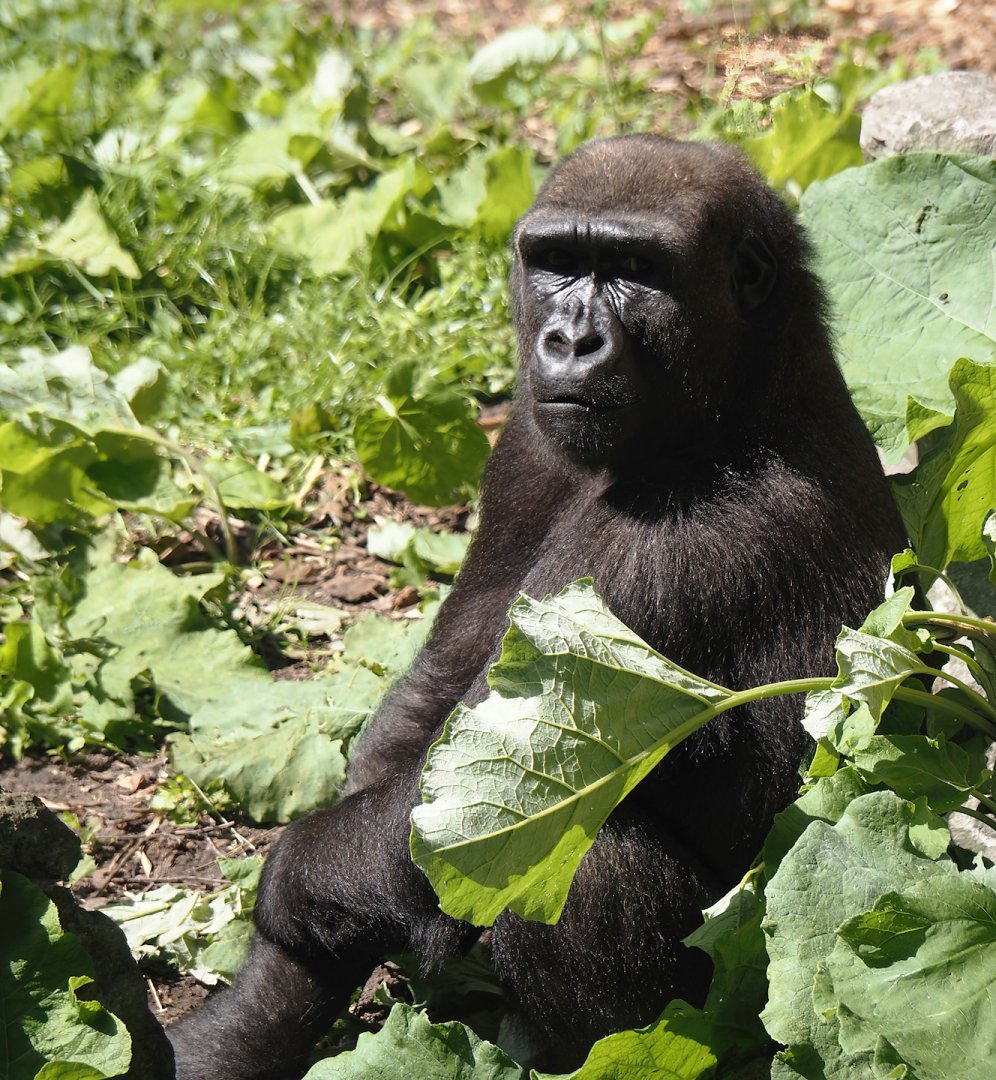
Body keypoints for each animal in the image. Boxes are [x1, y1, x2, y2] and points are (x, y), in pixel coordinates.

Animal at [168, 136, 907, 1079]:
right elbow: (438, 706)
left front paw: (287, 889)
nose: (572, 338)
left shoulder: (687, 540)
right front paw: (253, 1016)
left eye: (638, 271)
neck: (746, 389)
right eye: (558, 260)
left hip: (738, 1007)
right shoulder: (520, 439)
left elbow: (478, 799)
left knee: (578, 853)